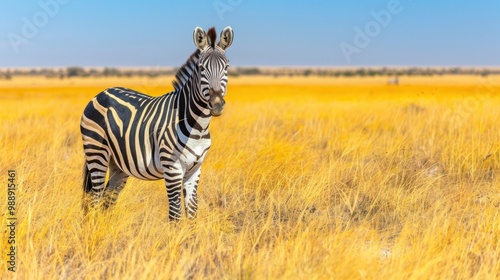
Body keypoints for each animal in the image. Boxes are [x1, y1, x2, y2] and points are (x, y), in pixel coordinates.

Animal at [79, 26, 232, 220]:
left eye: (226, 67)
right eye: (201, 68)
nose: (217, 104)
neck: (198, 127)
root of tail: (101, 93)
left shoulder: (195, 170)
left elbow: (192, 213)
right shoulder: (172, 169)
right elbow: (175, 215)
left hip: (118, 163)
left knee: (108, 199)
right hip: (96, 152)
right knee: (95, 199)